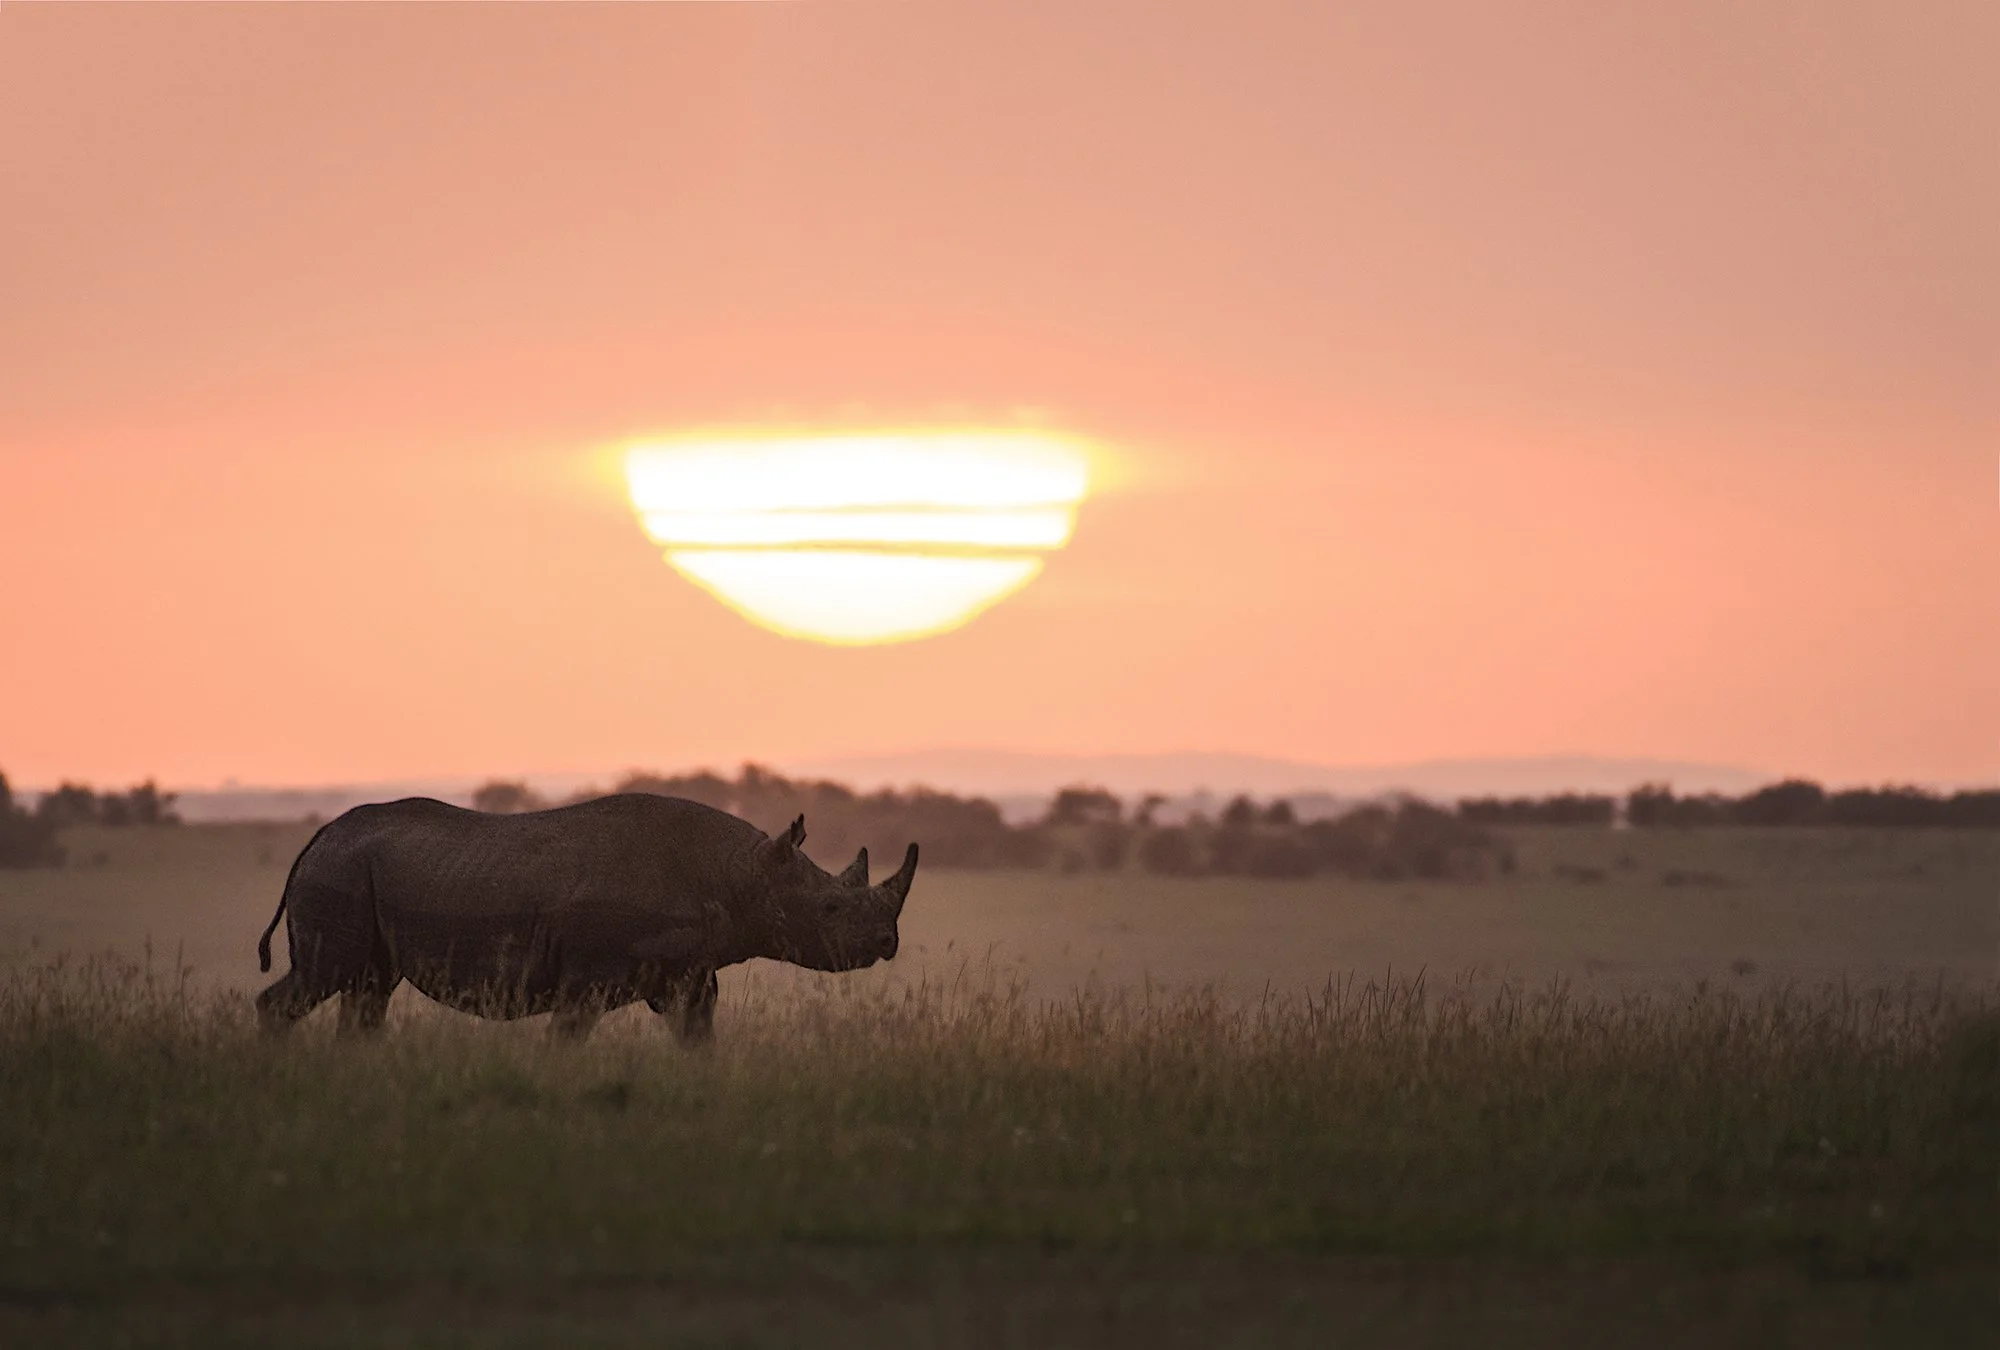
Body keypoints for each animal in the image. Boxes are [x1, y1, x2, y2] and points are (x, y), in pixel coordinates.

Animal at [252, 793, 917, 1040]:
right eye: (829, 908)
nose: (887, 941)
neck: (742, 872)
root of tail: (316, 840)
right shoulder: (587, 978)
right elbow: (568, 1037)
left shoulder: (690, 973)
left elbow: (697, 1036)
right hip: (339, 871)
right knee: (326, 977)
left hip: (354, 870)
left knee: (368, 987)